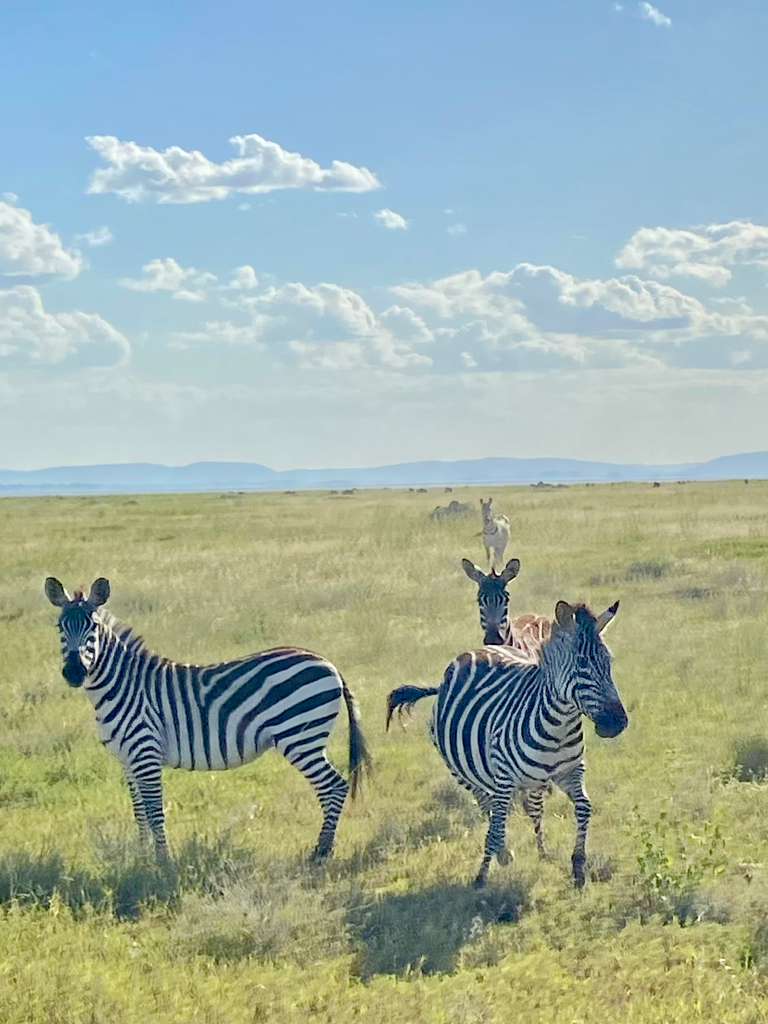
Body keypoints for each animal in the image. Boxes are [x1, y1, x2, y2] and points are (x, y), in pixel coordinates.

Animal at [44, 576, 371, 862]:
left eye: (93, 627)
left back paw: (321, 852)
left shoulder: (146, 753)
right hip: (306, 737)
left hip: (300, 737)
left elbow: (155, 811)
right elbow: (139, 811)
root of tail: (327, 663)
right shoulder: (128, 760)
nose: (73, 672)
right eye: (60, 627)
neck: (123, 685)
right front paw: (142, 857)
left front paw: (163, 862)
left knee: (334, 787)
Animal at [386, 600, 627, 888]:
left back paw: (540, 851)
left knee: (528, 810)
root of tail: (477, 650)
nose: (617, 723)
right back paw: (501, 851)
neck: (558, 726)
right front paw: (482, 875)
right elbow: (498, 819)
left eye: (609, 661)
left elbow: (584, 808)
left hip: (525, 781)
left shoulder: (570, 772)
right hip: (464, 772)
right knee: (490, 808)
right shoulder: (505, 778)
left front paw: (578, 866)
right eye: (582, 665)